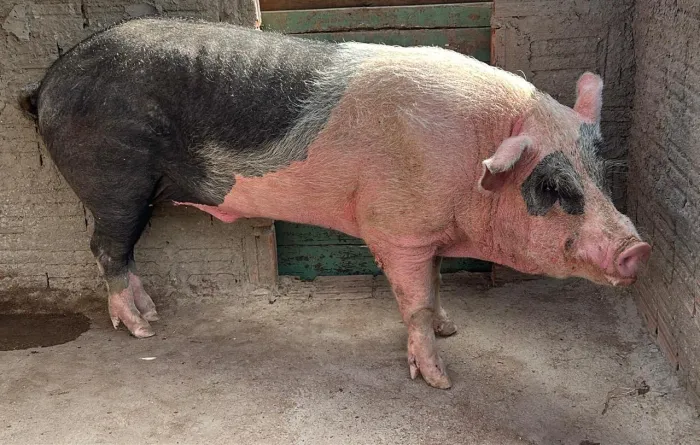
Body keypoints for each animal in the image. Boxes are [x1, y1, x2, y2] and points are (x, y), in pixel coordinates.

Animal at [18, 17, 650, 389]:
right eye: (553, 189)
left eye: (601, 173)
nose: (637, 249)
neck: (472, 156)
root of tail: (46, 82)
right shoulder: (396, 228)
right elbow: (415, 300)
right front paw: (440, 380)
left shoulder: (424, 234)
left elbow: (435, 287)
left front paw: (450, 330)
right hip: (114, 179)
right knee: (107, 248)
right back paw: (144, 331)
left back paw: (150, 316)